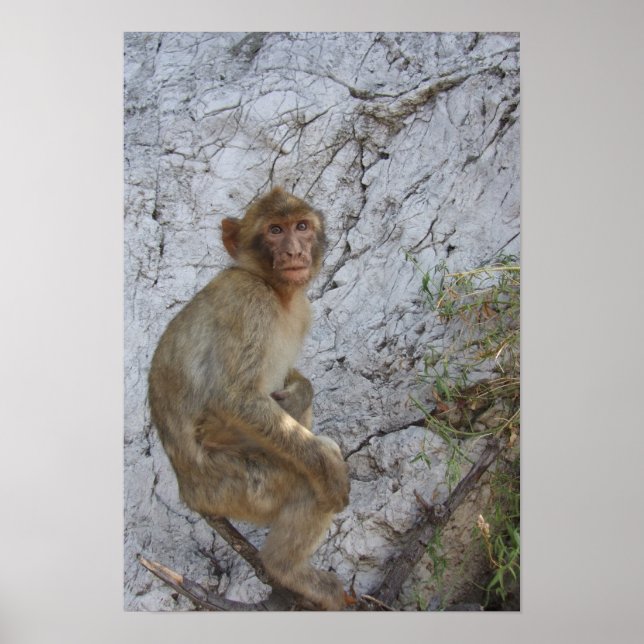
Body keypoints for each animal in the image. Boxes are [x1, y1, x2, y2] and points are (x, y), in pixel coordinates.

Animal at [148, 187, 350, 610]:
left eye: (301, 227)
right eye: (275, 230)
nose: (293, 251)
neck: (271, 286)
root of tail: (191, 495)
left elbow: (290, 385)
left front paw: (300, 391)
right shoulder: (247, 301)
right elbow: (233, 398)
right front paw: (327, 466)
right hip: (235, 487)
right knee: (303, 482)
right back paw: (284, 568)